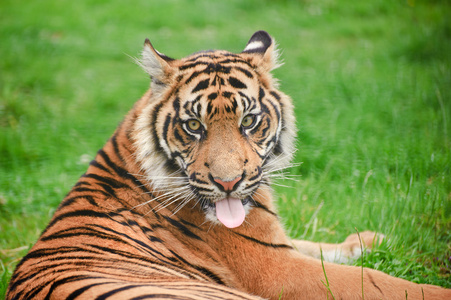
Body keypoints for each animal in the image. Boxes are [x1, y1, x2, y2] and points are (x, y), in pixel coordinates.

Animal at [5, 29, 450, 298]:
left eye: (249, 121)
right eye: (193, 126)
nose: (228, 183)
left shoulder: (279, 243)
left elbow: (320, 246)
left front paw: (371, 240)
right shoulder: (274, 266)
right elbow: (378, 282)